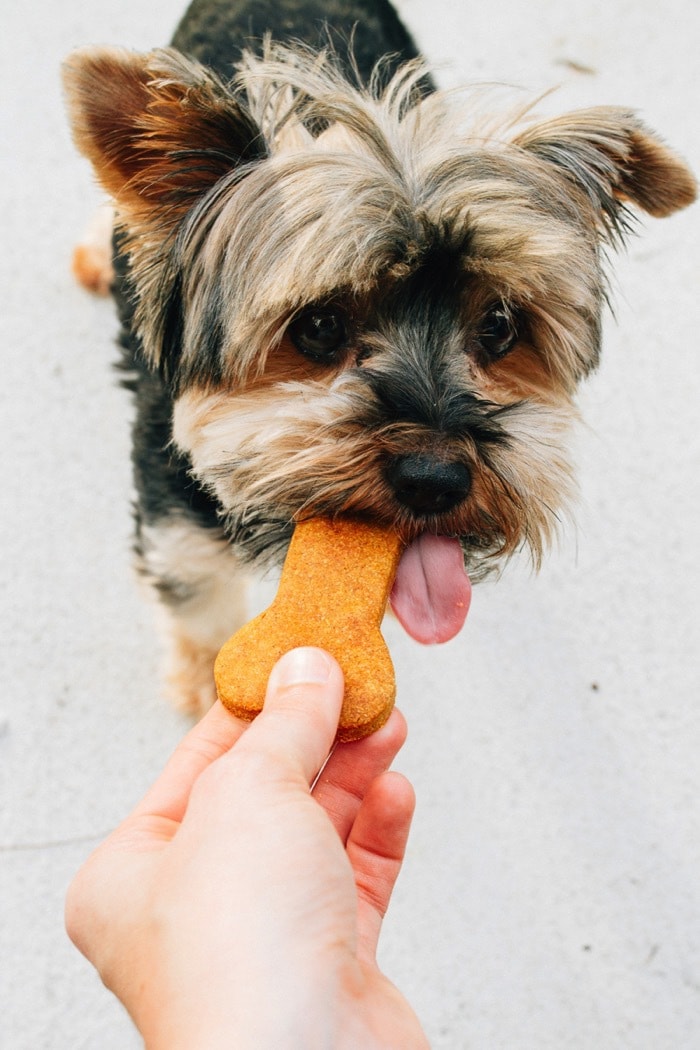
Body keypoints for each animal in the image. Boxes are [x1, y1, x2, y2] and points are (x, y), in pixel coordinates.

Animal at [62, 0, 696, 713]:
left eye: (500, 326)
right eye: (318, 326)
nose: (436, 479)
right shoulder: (178, 523)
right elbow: (199, 608)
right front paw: (206, 691)